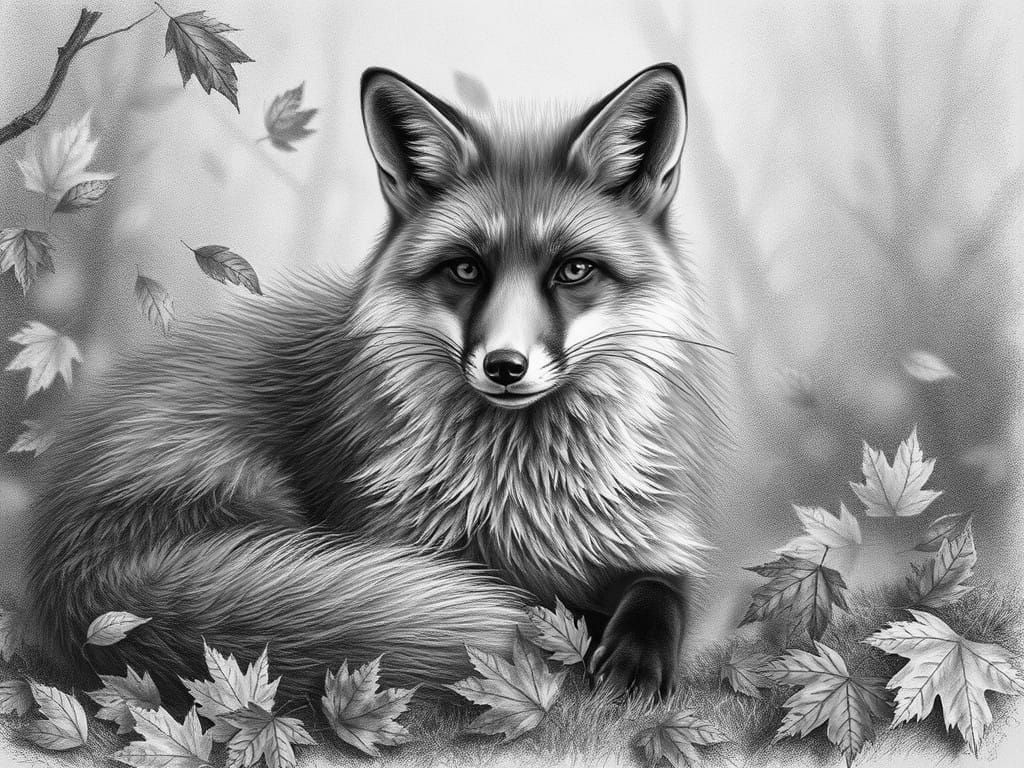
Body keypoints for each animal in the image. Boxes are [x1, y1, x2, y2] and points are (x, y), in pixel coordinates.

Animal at [27, 63, 728, 703]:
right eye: (465, 269)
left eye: (574, 270)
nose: (505, 366)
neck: (521, 495)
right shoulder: (395, 536)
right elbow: (526, 595)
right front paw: (571, 624)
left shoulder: (645, 541)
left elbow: (661, 592)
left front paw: (635, 657)